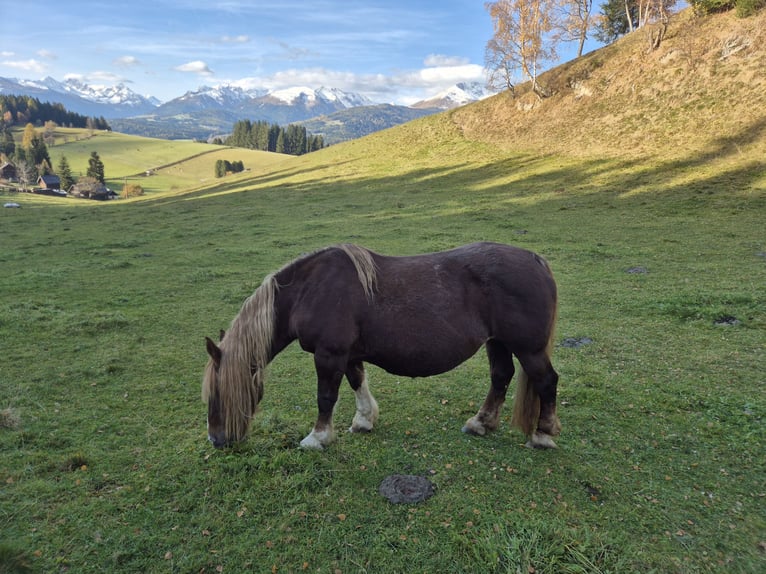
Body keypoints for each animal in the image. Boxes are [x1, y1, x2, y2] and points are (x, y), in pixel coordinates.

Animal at [202, 242, 561, 450]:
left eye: (217, 394)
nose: (217, 440)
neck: (310, 290)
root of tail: (535, 260)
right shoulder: (347, 355)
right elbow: (357, 382)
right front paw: (364, 421)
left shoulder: (329, 355)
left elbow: (325, 397)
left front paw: (317, 437)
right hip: (497, 343)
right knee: (501, 376)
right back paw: (481, 423)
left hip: (527, 348)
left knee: (546, 381)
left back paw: (542, 435)